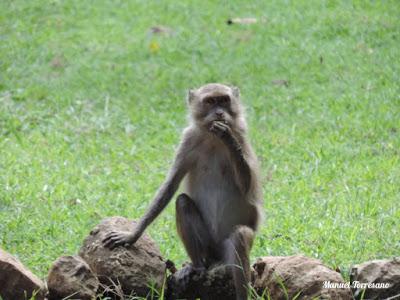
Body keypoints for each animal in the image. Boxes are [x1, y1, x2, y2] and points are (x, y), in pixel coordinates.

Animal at [103, 83, 262, 298]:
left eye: (224, 100)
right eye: (210, 101)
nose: (219, 113)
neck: (212, 139)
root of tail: (215, 257)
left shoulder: (242, 136)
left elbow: (248, 189)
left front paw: (227, 137)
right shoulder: (188, 140)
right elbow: (170, 186)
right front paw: (132, 235)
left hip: (226, 250)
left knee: (239, 237)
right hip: (208, 246)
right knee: (183, 202)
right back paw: (198, 266)